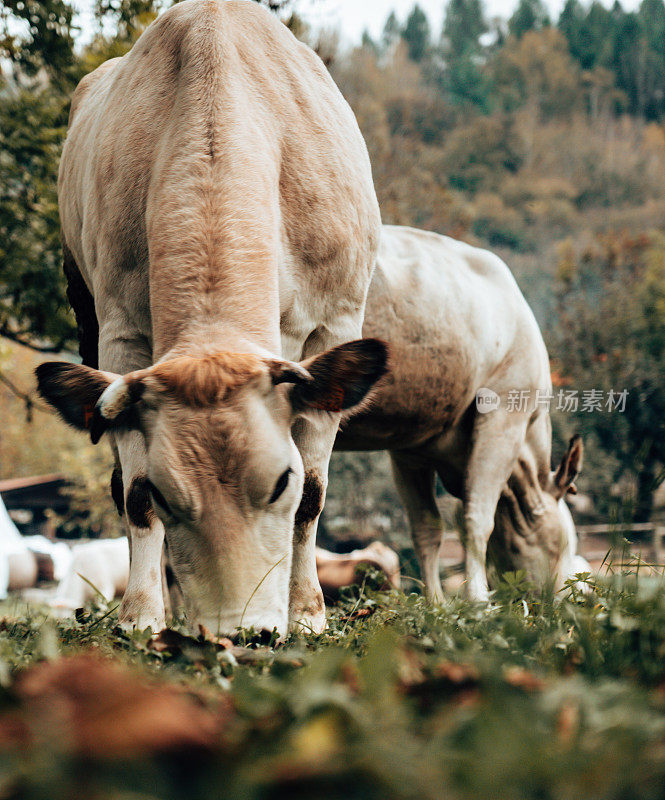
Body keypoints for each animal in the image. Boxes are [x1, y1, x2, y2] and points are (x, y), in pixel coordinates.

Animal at [35, 0, 384, 636]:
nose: (236, 632)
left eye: (281, 481)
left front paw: (307, 612)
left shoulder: (338, 321)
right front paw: (141, 615)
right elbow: (131, 493)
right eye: (167, 493)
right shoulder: (121, 334)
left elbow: (317, 492)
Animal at [334, 225, 588, 600]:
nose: (564, 599)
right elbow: (477, 520)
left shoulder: (409, 449)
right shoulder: (503, 415)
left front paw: (436, 603)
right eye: (567, 545)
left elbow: (426, 528)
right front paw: (478, 601)